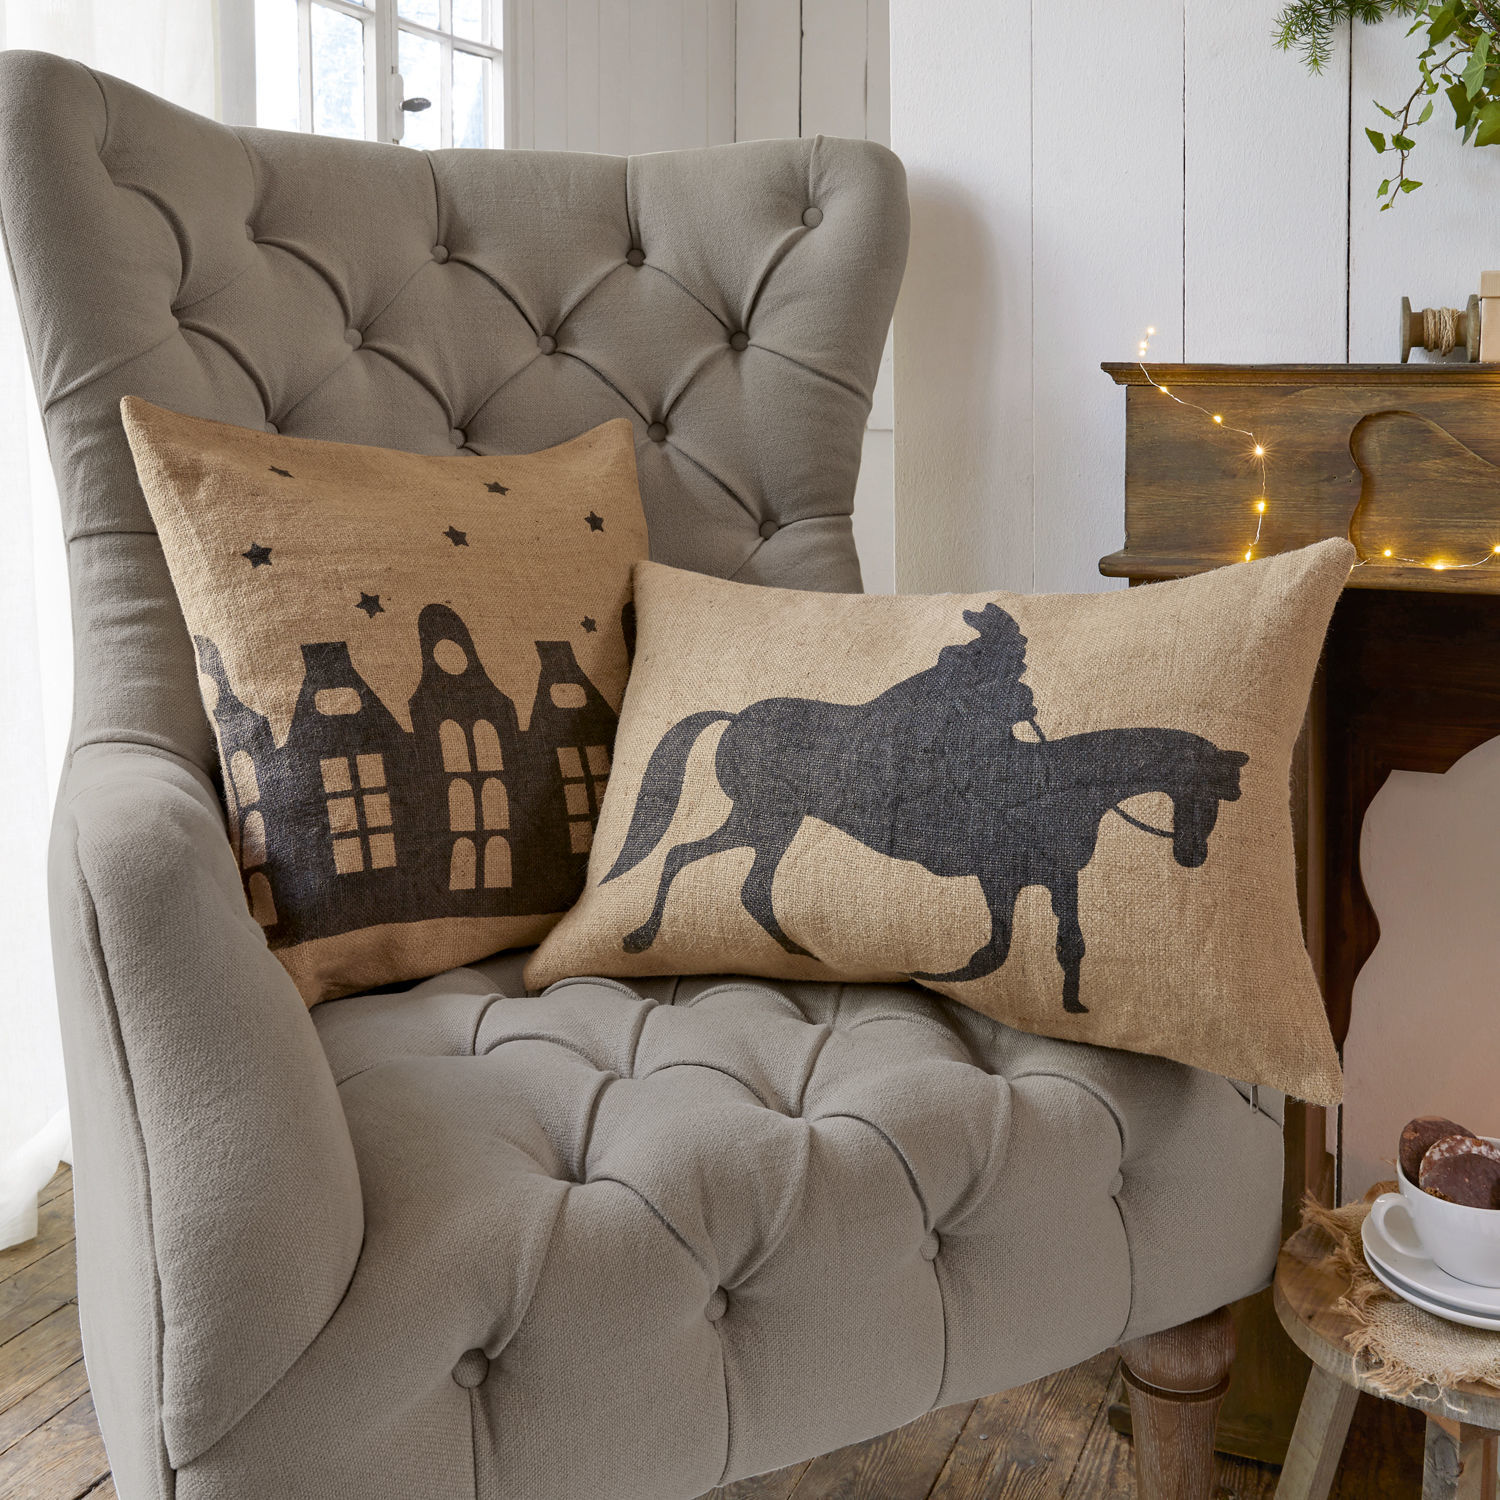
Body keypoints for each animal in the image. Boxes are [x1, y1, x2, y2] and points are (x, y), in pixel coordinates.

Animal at [602, 606, 1249, 1014]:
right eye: (1204, 793)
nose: (1193, 857)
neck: (1055, 785)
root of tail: (736, 716)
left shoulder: (1060, 877)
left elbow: (1069, 945)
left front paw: (1074, 1006)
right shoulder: (998, 877)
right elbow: (993, 952)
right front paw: (935, 976)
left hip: (775, 825)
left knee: (748, 888)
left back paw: (797, 952)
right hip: (764, 819)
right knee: (687, 855)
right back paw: (643, 936)